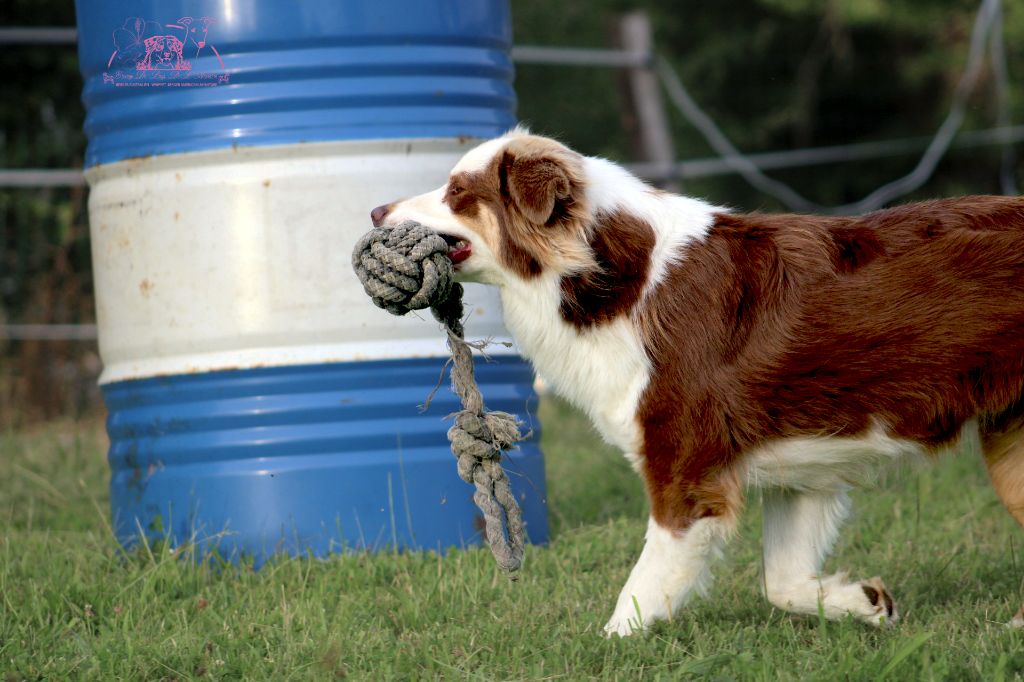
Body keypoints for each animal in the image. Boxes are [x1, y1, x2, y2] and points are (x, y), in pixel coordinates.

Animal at [372, 129, 1024, 638]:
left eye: (459, 193)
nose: (375, 213)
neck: (612, 278)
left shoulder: (686, 473)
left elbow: (641, 590)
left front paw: (611, 647)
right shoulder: (802, 472)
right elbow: (782, 582)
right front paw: (864, 603)